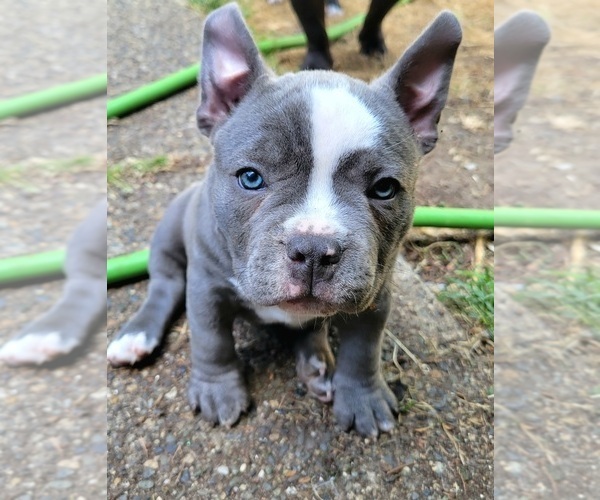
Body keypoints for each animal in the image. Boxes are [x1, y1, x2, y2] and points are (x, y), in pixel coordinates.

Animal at [108, 1, 462, 436]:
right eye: (250, 177)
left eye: (384, 189)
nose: (313, 250)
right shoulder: (206, 286)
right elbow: (211, 340)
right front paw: (217, 390)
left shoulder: (376, 295)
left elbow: (363, 349)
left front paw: (362, 398)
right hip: (170, 232)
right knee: (166, 283)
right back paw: (136, 336)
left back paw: (317, 363)